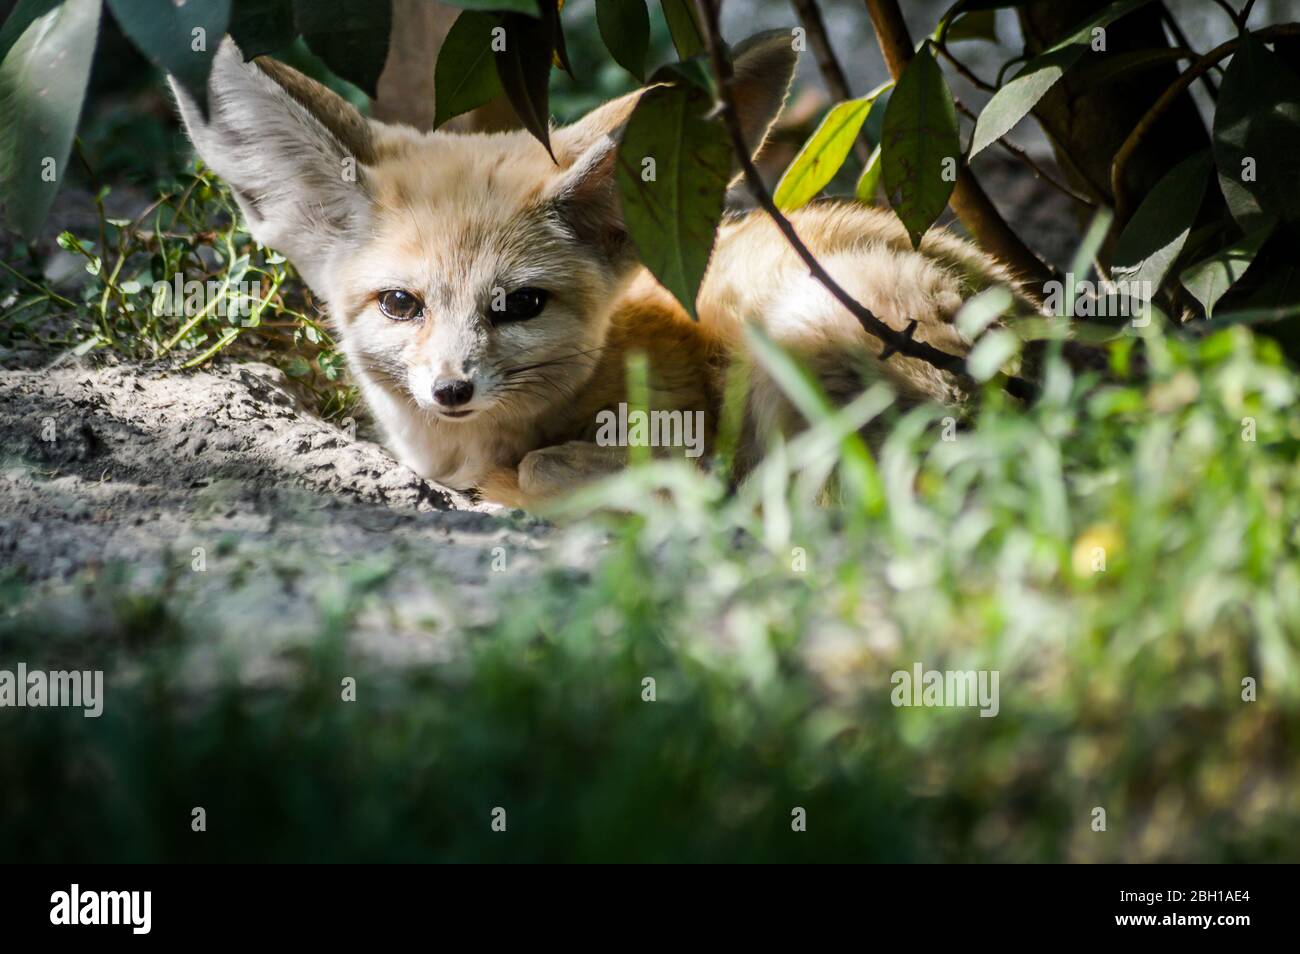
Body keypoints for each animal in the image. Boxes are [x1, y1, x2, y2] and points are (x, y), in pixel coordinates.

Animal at [171, 32, 1031, 509]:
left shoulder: (693, 439)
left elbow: (549, 468)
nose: (452, 389)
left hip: (792, 335)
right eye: (399, 304)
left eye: (521, 304)